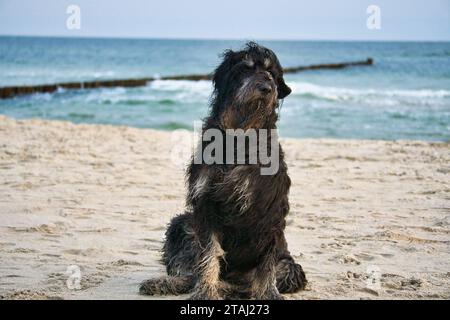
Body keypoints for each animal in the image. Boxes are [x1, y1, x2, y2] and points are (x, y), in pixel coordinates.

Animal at [141, 41, 308, 298]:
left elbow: (266, 263)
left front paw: (268, 293)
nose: (266, 88)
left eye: (271, 73)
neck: (241, 135)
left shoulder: (270, 210)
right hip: (183, 224)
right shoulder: (206, 205)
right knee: (192, 271)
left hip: (290, 266)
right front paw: (206, 291)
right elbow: (209, 255)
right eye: (246, 68)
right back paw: (169, 283)